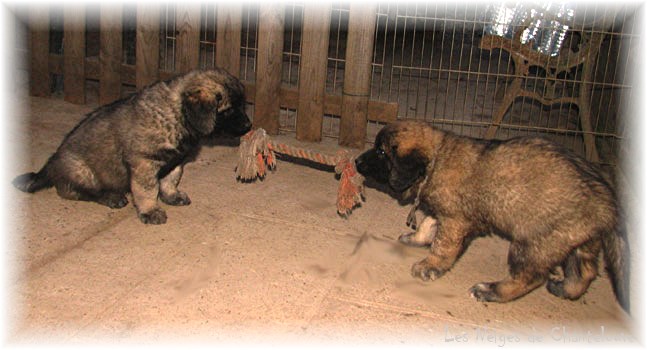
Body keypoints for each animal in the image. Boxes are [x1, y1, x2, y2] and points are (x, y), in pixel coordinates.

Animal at [13, 67, 251, 224]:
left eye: (242, 105)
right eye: (229, 109)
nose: (249, 125)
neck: (177, 115)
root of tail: (50, 165)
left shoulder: (175, 161)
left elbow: (170, 180)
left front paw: (172, 196)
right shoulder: (144, 163)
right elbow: (147, 190)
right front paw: (150, 211)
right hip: (82, 170)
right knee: (73, 191)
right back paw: (111, 197)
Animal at [356, 121, 632, 312]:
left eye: (381, 152)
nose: (357, 161)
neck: (436, 160)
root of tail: (608, 202)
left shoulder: (455, 220)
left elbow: (443, 246)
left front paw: (429, 265)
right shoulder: (446, 212)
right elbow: (427, 223)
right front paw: (416, 239)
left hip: (535, 242)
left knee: (530, 277)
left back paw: (491, 290)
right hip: (578, 240)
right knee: (585, 271)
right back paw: (565, 289)